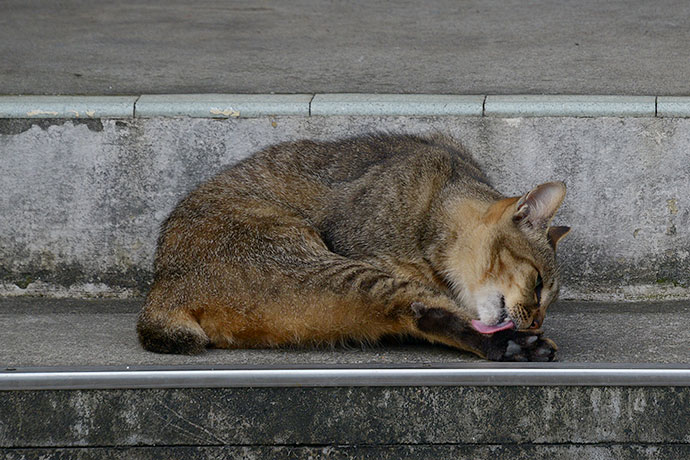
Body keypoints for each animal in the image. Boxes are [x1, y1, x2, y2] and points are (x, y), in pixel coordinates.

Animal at [137, 133, 568, 360]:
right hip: (324, 267)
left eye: (549, 303)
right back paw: (511, 346)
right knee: (417, 311)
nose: (536, 321)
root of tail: (162, 287)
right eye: (538, 284)